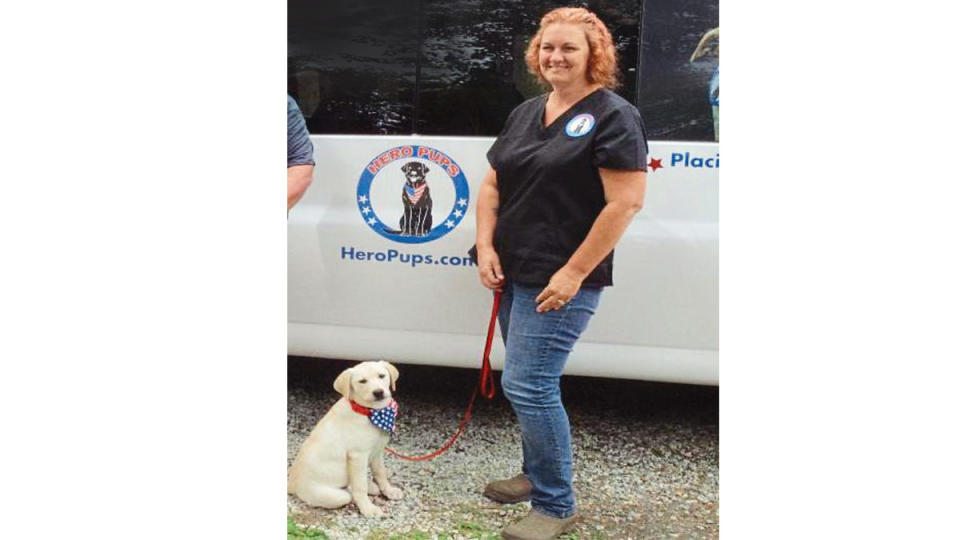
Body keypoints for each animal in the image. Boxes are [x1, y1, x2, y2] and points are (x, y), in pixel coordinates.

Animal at [286, 360, 404, 516]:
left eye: (381, 376)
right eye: (362, 381)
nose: (378, 392)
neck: (370, 412)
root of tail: (291, 484)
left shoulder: (378, 452)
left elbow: (381, 473)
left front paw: (389, 491)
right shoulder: (358, 456)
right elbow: (360, 486)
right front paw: (368, 508)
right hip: (333, 495)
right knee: (349, 493)